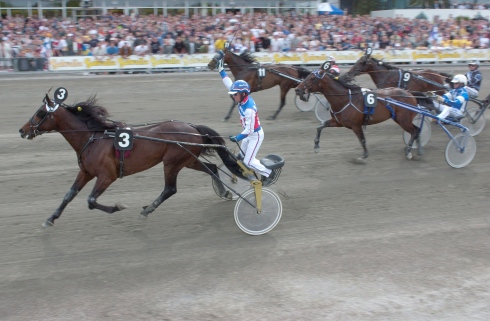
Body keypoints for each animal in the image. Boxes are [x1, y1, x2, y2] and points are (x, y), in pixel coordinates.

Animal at [19, 89, 245, 226]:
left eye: (40, 113)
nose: (22, 130)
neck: (93, 138)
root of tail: (192, 126)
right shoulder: (86, 172)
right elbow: (69, 195)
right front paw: (50, 218)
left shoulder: (106, 176)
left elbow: (91, 200)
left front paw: (117, 207)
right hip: (188, 159)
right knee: (212, 168)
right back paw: (224, 192)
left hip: (172, 162)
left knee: (170, 189)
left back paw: (147, 210)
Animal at [292, 65, 424, 162]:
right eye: (308, 76)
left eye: (312, 78)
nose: (298, 89)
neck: (344, 98)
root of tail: (410, 94)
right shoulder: (338, 122)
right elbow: (320, 126)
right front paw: (316, 147)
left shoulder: (356, 125)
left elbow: (362, 140)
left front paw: (363, 156)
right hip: (400, 119)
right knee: (417, 130)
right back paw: (418, 150)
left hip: (403, 120)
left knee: (415, 131)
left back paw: (409, 152)